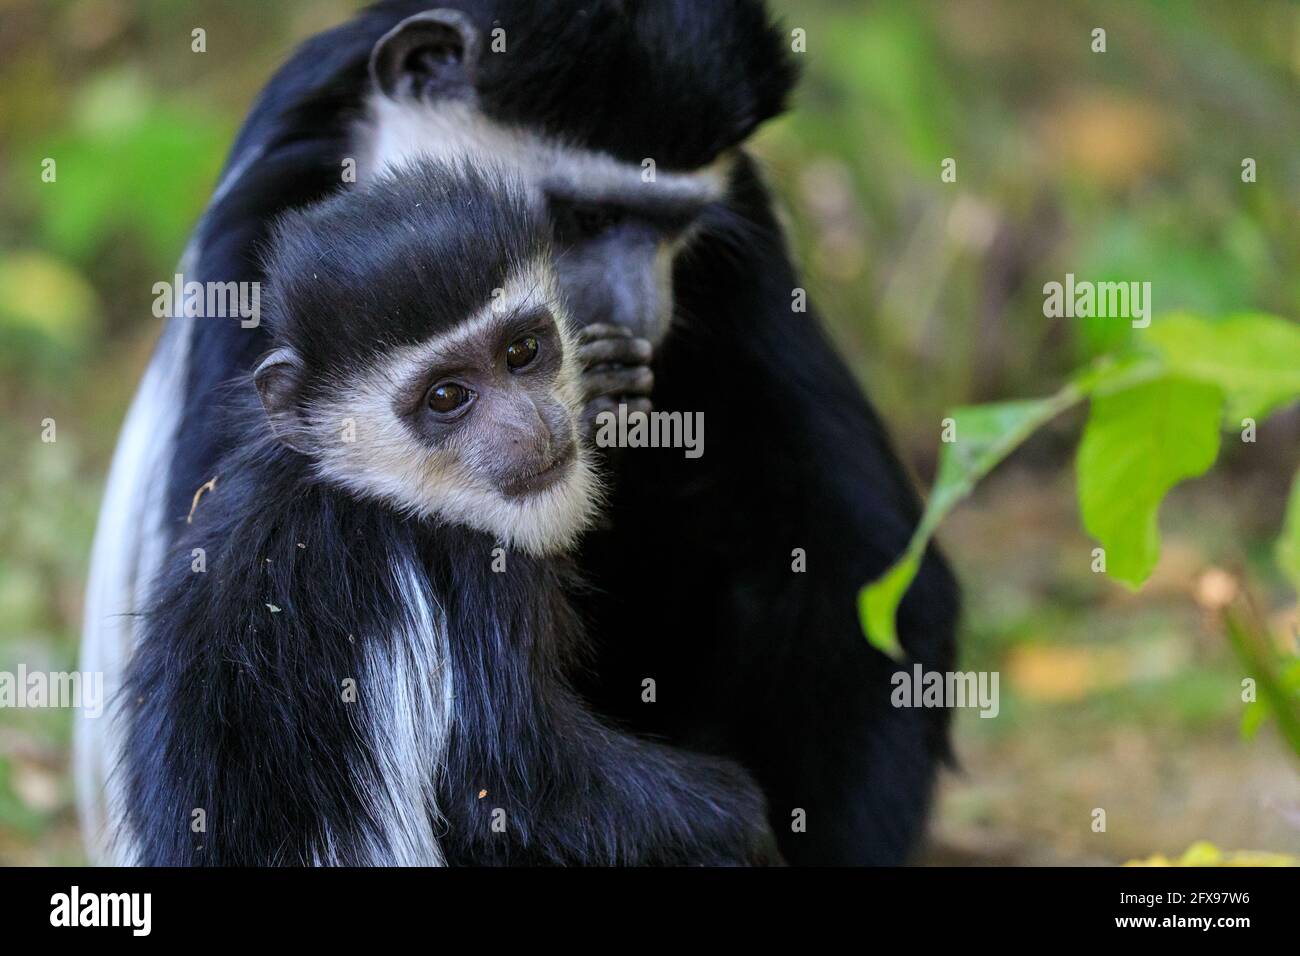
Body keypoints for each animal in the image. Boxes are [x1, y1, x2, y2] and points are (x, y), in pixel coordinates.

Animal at [122, 158, 774, 868]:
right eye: (446, 397)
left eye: (522, 351)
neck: (365, 487)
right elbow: (510, 796)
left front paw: (603, 386)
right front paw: (744, 820)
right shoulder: (470, 579)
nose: (531, 428)